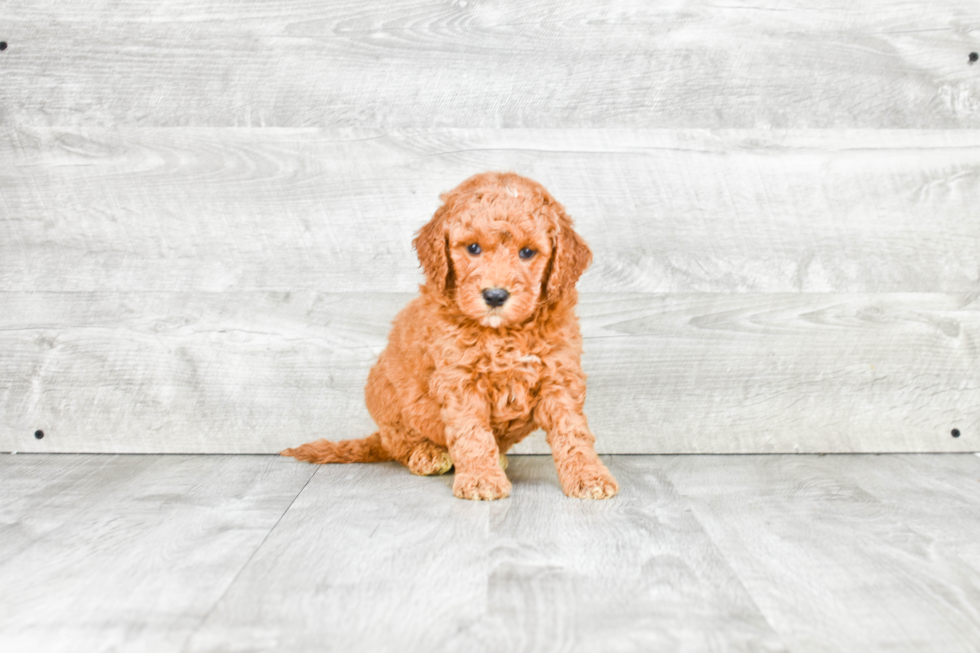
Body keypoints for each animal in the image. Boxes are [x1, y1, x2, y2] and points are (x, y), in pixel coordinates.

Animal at [282, 172, 620, 500]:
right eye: (473, 248)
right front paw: (481, 479)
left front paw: (589, 476)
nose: (495, 295)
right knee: (400, 444)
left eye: (527, 252)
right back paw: (429, 454)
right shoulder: (459, 380)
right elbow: (471, 433)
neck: (502, 332)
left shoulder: (558, 376)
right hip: (387, 396)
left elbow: (572, 432)